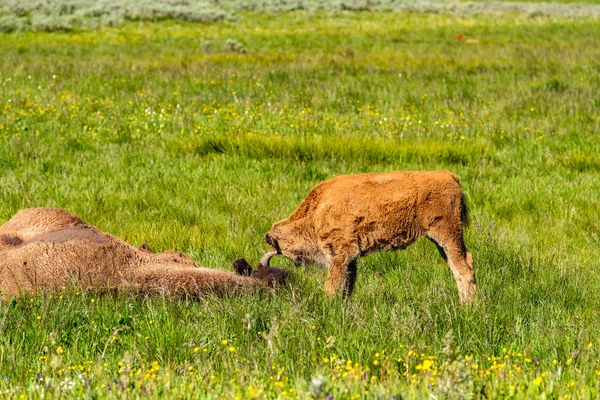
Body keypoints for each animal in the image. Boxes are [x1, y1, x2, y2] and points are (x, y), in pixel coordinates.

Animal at [260, 170, 476, 304]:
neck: (316, 213)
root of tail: (450, 177)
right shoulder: (350, 259)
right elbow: (346, 285)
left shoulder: (339, 256)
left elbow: (333, 285)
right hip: (441, 241)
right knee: (457, 266)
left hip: (448, 235)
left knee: (464, 266)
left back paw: (469, 306)